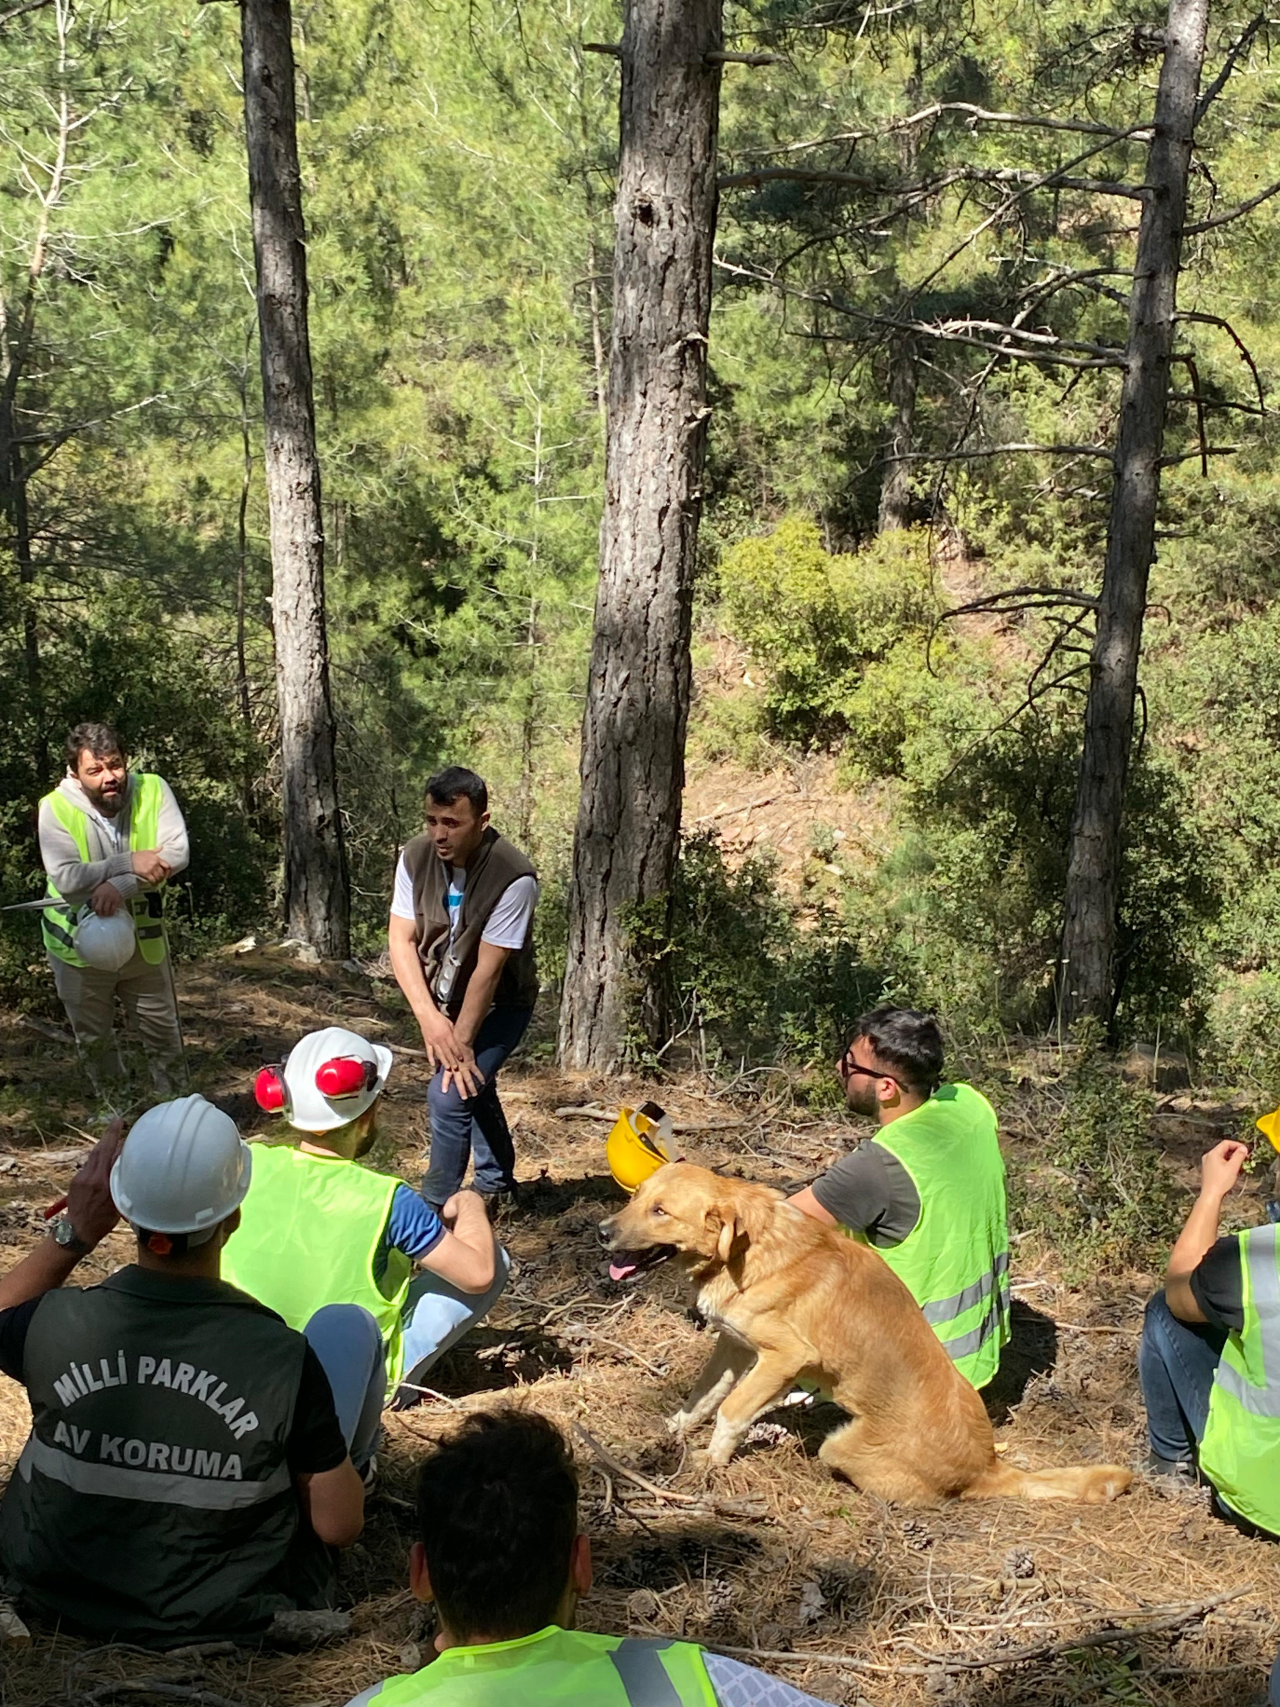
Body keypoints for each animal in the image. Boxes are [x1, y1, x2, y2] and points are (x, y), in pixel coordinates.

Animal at [600, 1160, 1133, 1508]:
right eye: (637, 1196)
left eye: (661, 1212)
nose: (603, 1231)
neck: (748, 1251)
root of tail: (987, 1468)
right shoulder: (732, 1343)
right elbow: (702, 1397)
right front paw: (669, 1434)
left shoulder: (785, 1356)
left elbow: (731, 1411)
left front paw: (709, 1465)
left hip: (839, 1445)